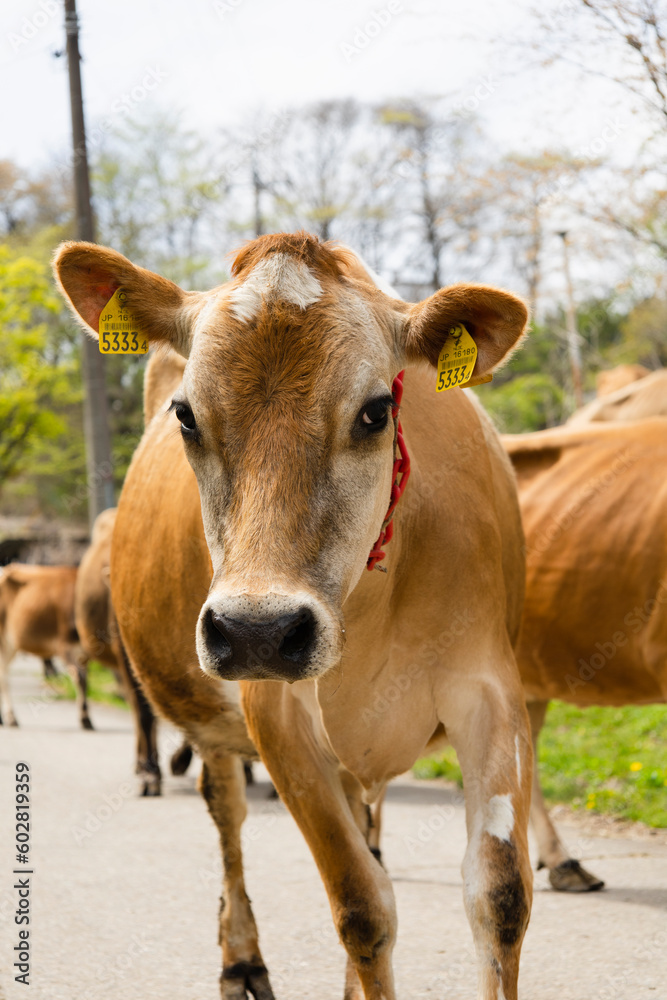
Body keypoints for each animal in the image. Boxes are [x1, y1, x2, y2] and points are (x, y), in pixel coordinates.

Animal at [0, 568, 91, 732]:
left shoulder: (83, 653)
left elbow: (85, 680)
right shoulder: (65, 646)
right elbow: (80, 678)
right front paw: (85, 719)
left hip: (11, 644)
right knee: (3, 675)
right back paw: (11, 718)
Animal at [56, 232, 536, 1000]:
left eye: (375, 410)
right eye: (186, 415)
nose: (259, 629)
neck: (367, 605)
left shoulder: (488, 689)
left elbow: (498, 895)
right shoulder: (274, 711)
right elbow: (361, 905)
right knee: (226, 808)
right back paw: (241, 957)